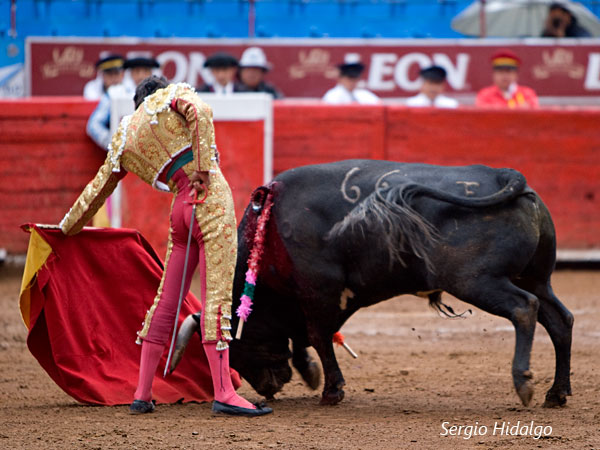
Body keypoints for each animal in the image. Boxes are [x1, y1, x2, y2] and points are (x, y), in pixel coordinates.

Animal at [175, 161, 576, 408]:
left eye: (235, 347)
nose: (267, 388)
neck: (269, 235)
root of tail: (502, 176)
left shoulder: (318, 290)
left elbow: (317, 335)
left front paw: (331, 390)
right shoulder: (319, 297)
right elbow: (306, 335)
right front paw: (313, 374)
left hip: (476, 281)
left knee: (524, 309)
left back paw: (524, 383)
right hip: (537, 278)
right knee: (560, 320)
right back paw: (556, 394)